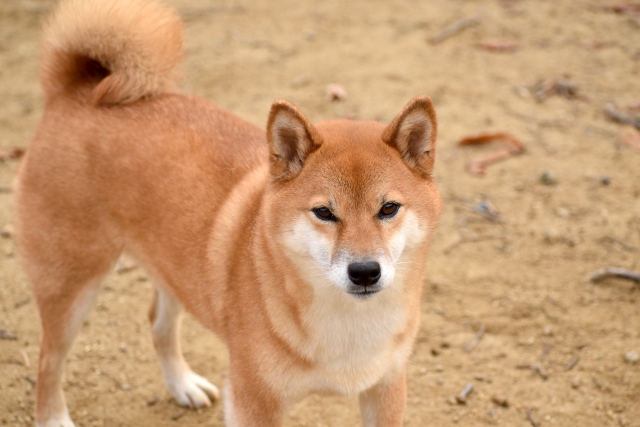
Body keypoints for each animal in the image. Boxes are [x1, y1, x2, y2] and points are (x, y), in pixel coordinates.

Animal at [15, 0, 442, 424]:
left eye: (388, 208)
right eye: (323, 212)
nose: (365, 271)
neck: (348, 322)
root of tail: (76, 91)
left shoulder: (385, 388)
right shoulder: (252, 399)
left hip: (172, 263)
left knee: (158, 322)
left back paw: (183, 384)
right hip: (69, 286)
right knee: (47, 360)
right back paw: (54, 417)